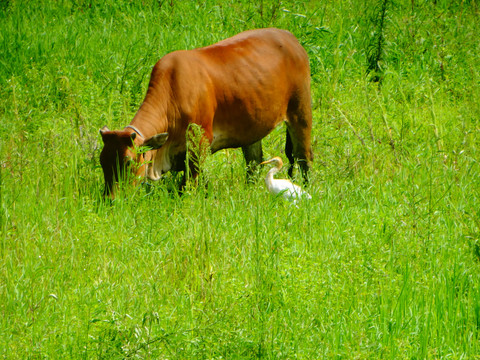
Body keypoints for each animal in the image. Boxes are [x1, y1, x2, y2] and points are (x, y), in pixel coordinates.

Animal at [99, 27, 314, 197]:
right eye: (102, 161)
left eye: (128, 163)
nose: (111, 199)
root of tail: (291, 38)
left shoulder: (199, 144)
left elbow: (188, 185)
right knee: (254, 162)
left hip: (300, 112)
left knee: (303, 156)